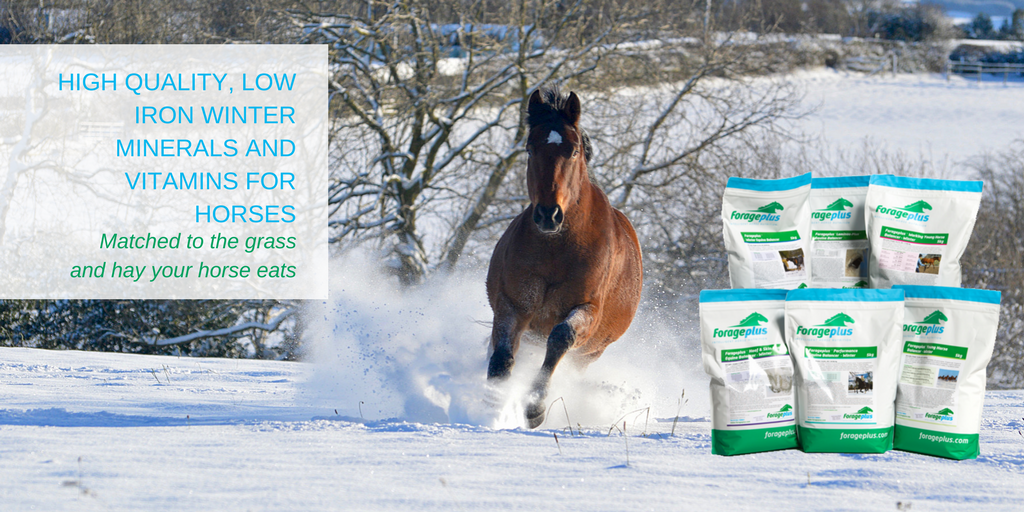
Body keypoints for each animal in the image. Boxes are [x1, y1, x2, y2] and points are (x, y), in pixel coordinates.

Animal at [485, 87, 643, 428]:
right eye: (530, 149)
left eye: (572, 151)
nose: (548, 214)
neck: (557, 250)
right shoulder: (512, 304)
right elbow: (502, 358)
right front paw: (492, 404)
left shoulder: (587, 310)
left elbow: (560, 338)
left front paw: (534, 408)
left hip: (589, 353)